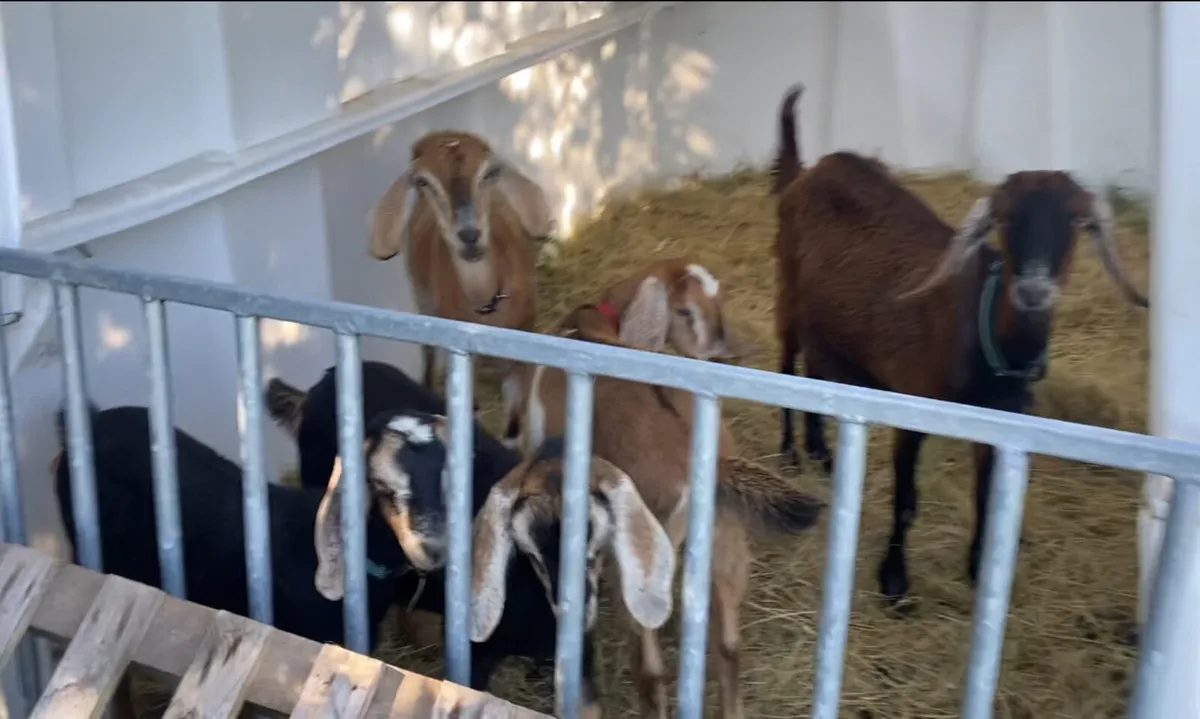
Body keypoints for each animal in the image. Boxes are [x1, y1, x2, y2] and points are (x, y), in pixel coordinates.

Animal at [368, 129, 553, 442]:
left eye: (490, 172)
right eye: (422, 181)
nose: (469, 236)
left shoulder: (524, 353)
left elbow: (514, 427)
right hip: (422, 298)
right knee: (429, 353)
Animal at [770, 84, 1150, 605]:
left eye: (1075, 222)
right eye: (1006, 219)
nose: (1034, 291)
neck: (982, 331)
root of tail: (808, 173)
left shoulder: (1001, 423)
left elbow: (988, 498)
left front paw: (978, 572)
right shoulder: (912, 407)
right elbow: (907, 502)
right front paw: (893, 582)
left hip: (829, 326)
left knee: (816, 369)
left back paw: (821, 453)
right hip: (788, 291)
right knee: (787, 362)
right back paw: (790, 452)